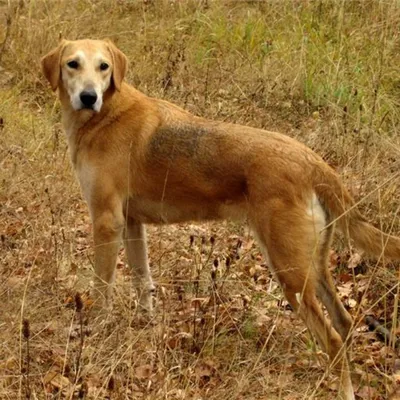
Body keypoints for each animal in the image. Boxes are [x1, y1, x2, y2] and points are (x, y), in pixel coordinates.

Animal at [41, 38, 400, 400]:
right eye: (73, 64)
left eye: (103, 67)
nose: (89, 97)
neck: (106, 115)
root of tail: (312, 161)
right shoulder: (131, 224)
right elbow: (143, 282)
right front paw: (144, 326)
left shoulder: (106, 221)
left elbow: (102, 288)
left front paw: (98, 331)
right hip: (312, 267)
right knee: (344, 323)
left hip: (290, 273)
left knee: (333, 337)